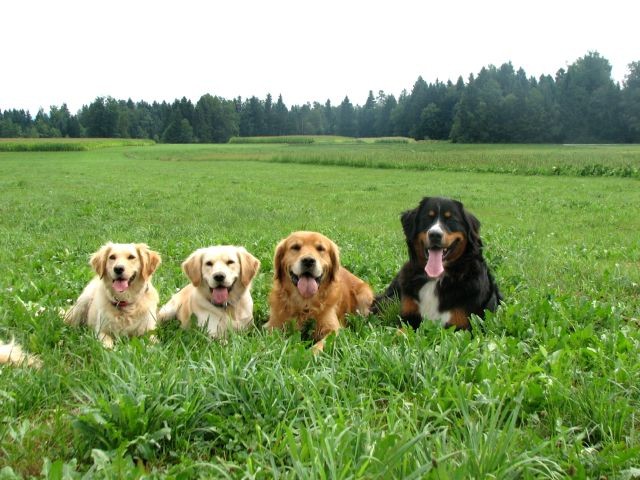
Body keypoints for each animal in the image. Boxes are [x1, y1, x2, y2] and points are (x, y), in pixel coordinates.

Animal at [376, 196, 500, 330]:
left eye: (451, 220)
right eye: (427, 218)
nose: (435, 235)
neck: (436, 278)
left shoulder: (463, 325)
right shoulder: (408, 318)